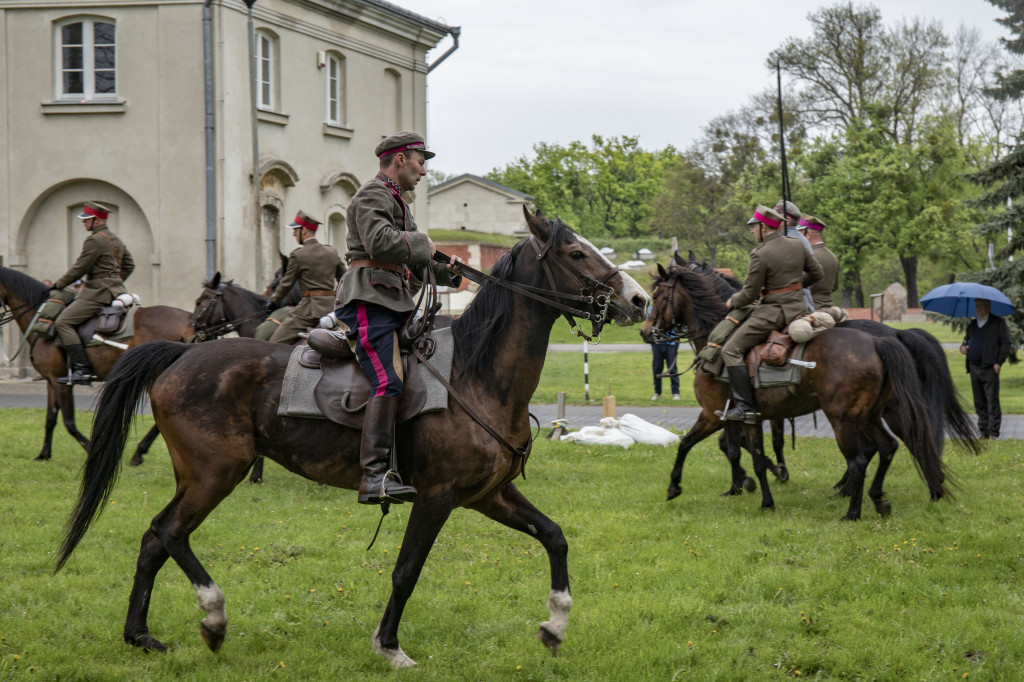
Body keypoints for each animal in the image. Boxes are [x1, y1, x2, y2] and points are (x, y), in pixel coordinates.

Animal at [0, 262, 192, 458]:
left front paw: (90, 447)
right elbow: (50, 419)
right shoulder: (51, 380)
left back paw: (141, 451)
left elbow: (69, 422)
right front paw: (44, 454)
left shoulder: (60, 382)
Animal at [56, 210, 647, 663]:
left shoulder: (489, 496)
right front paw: (389, 645)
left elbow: (554, 536)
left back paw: (140, 635)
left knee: (154, 540)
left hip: (199, 477)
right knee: (170, 532)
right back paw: (213, 616)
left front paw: (555, 625)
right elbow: (407, 570)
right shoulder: (437, 498)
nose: (639, 301)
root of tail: (182, 354)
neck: (474, 377)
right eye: (575, 254)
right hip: (213, 474)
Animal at [643, 262, 946, 518]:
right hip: (868, 416)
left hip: (847, 418)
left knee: (867, 456)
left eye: (658, 296)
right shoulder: (742, 417)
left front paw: (675, 486)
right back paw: (881, 496)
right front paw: (752, 491)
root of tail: (880, 340)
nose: (646, 332)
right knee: (887, 447)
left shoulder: (712, 414)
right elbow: (743, 453)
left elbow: (687, 443)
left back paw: (857, 510)